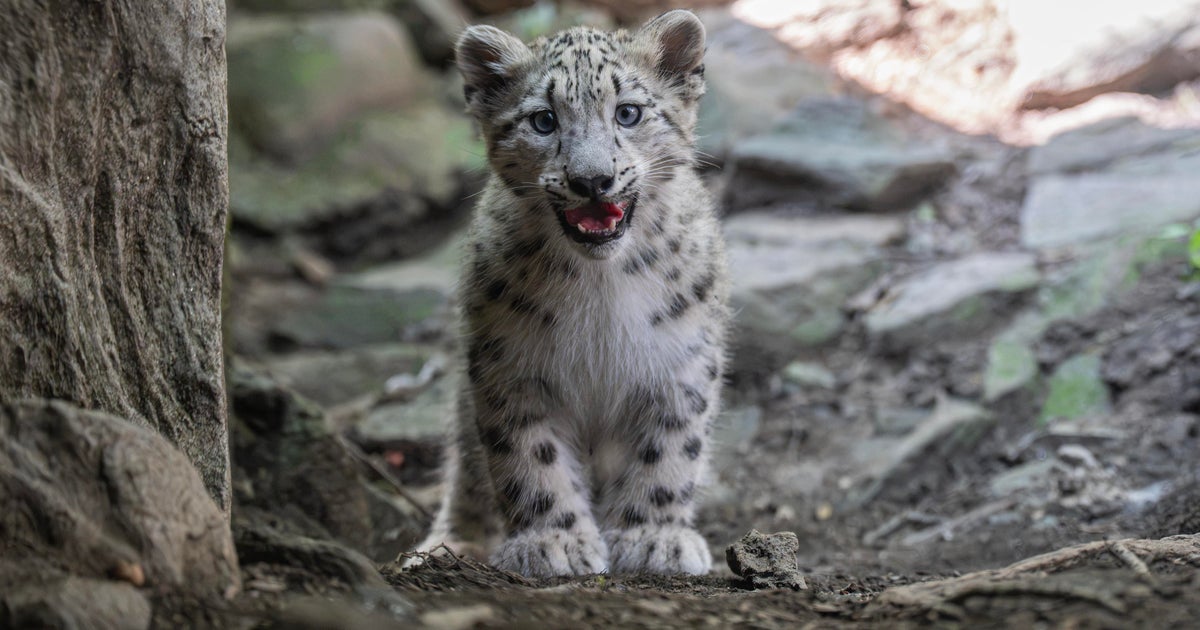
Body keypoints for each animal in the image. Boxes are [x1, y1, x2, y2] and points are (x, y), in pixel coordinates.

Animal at [413, 9, 730, 578]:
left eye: (628, 112)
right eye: (543, 120)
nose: (592, 179)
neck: (601, 288)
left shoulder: (681, 360)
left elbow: (670, 449)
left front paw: (654, 537)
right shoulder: (510, 364)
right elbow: (528, 456)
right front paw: (553, 542)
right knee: (466, 470)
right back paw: (450, 545)